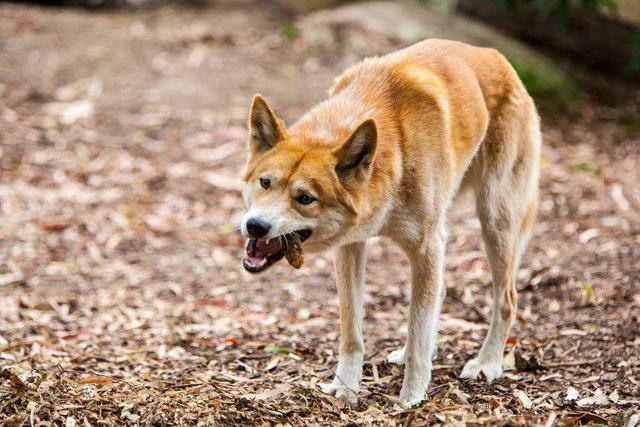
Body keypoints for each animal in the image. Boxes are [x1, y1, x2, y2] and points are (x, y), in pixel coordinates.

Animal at [240, 38, 540, 406]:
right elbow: (352, 331)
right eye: (265, 183)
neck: (395, 148)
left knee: (506, 299)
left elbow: (418, 326)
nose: (255, 226)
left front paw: (412, 396)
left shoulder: (426, 246)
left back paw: (488, 362)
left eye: (305, 198)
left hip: (494, 221)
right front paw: (346, 387)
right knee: (441, 295)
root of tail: (493, 55)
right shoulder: (352, 246)